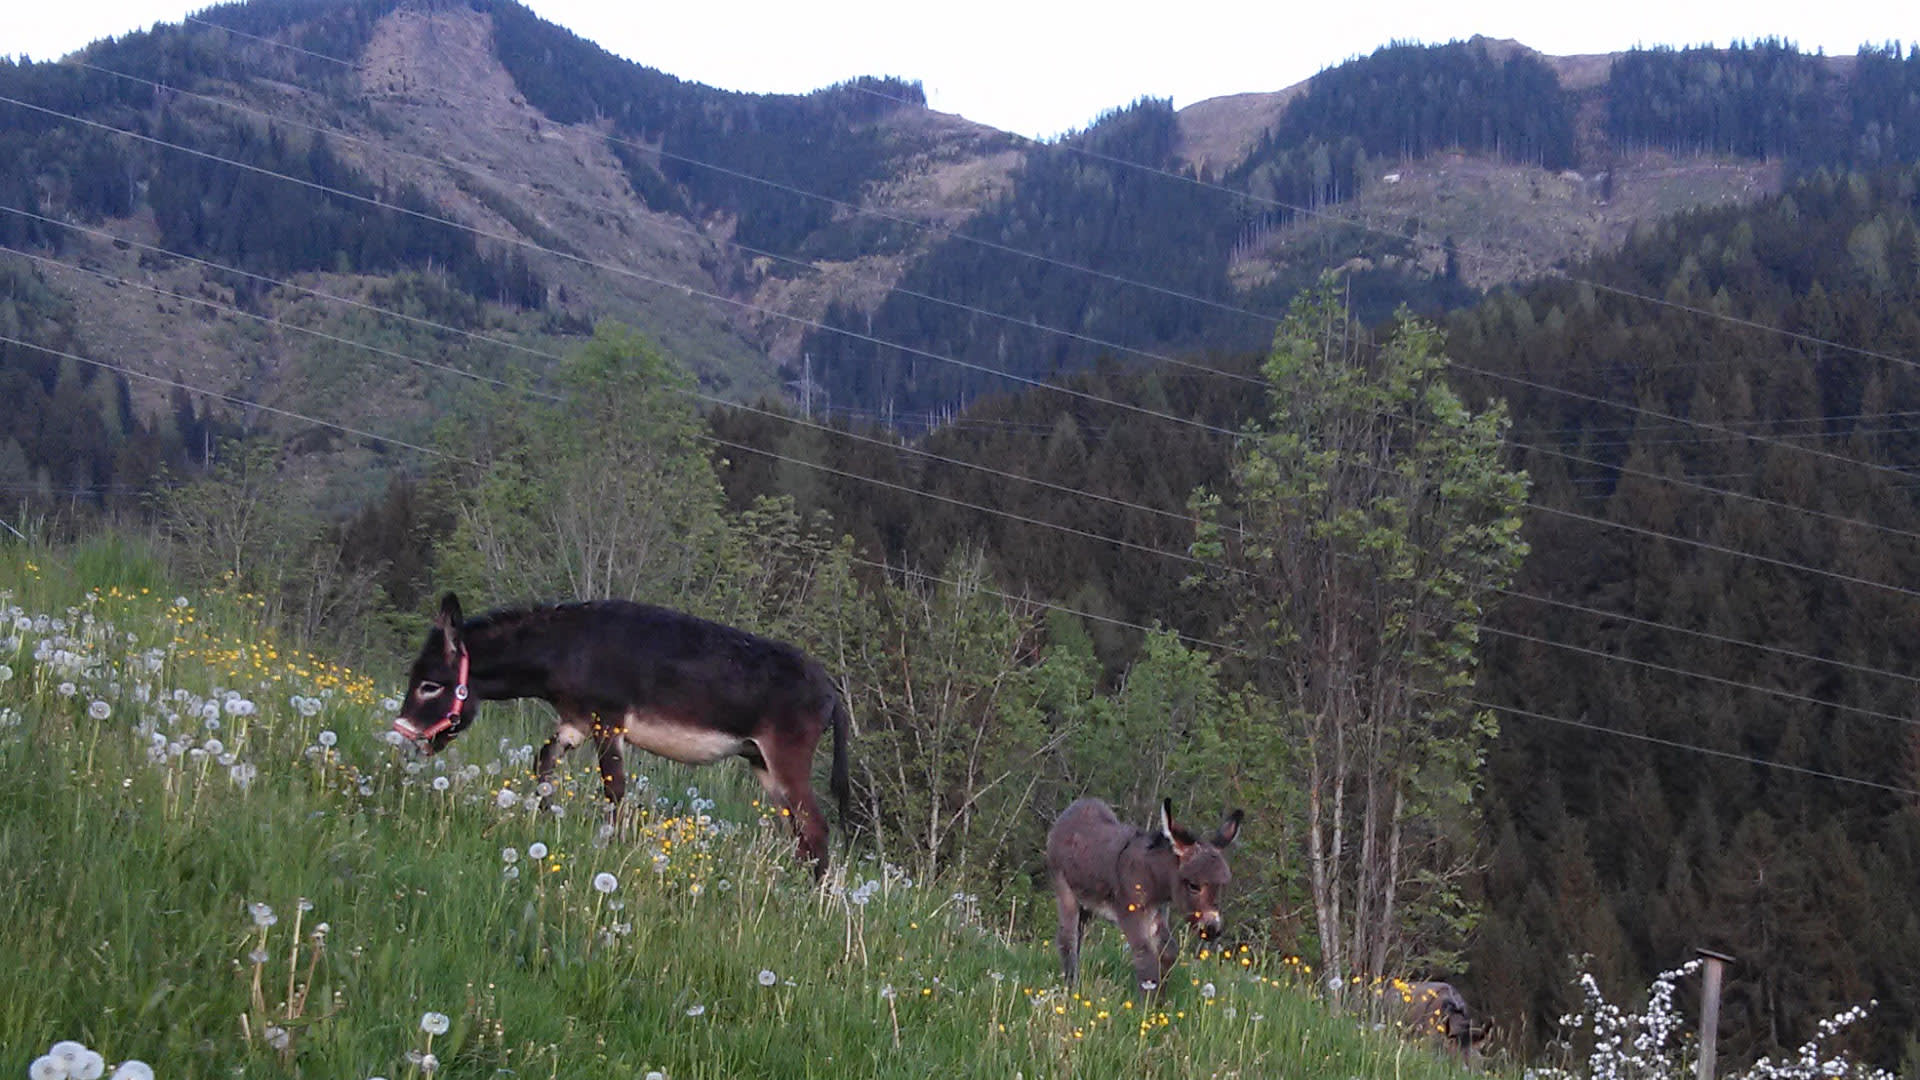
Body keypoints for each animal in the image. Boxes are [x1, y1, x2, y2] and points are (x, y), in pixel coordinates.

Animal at [391, 593, 851, 872]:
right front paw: (547, 819)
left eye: (429, 686)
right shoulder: (576, 722)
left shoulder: (607, 722)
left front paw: (609, 848)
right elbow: (544, 762)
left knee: (815, 828)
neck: (567, 646)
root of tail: (831, 687)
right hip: (761, 763)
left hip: (786, 756)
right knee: (800, 832)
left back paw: (814, 905)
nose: (403, 736)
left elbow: (614, 788)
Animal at [1045, 797, 1242, 992]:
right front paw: (1148, 1000)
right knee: (1067, 938)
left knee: (1078, 936)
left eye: (1221, 886)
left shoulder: (1158, 913)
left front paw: (1160, 999)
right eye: (1194, 886)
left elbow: (1168, 952)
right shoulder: (1130, 913)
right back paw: (1071, 989)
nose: (1212, 930)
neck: (1153, 877)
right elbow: (1145, 958)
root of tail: (1077, 806)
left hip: (1088, 903)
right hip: (1065, 889)